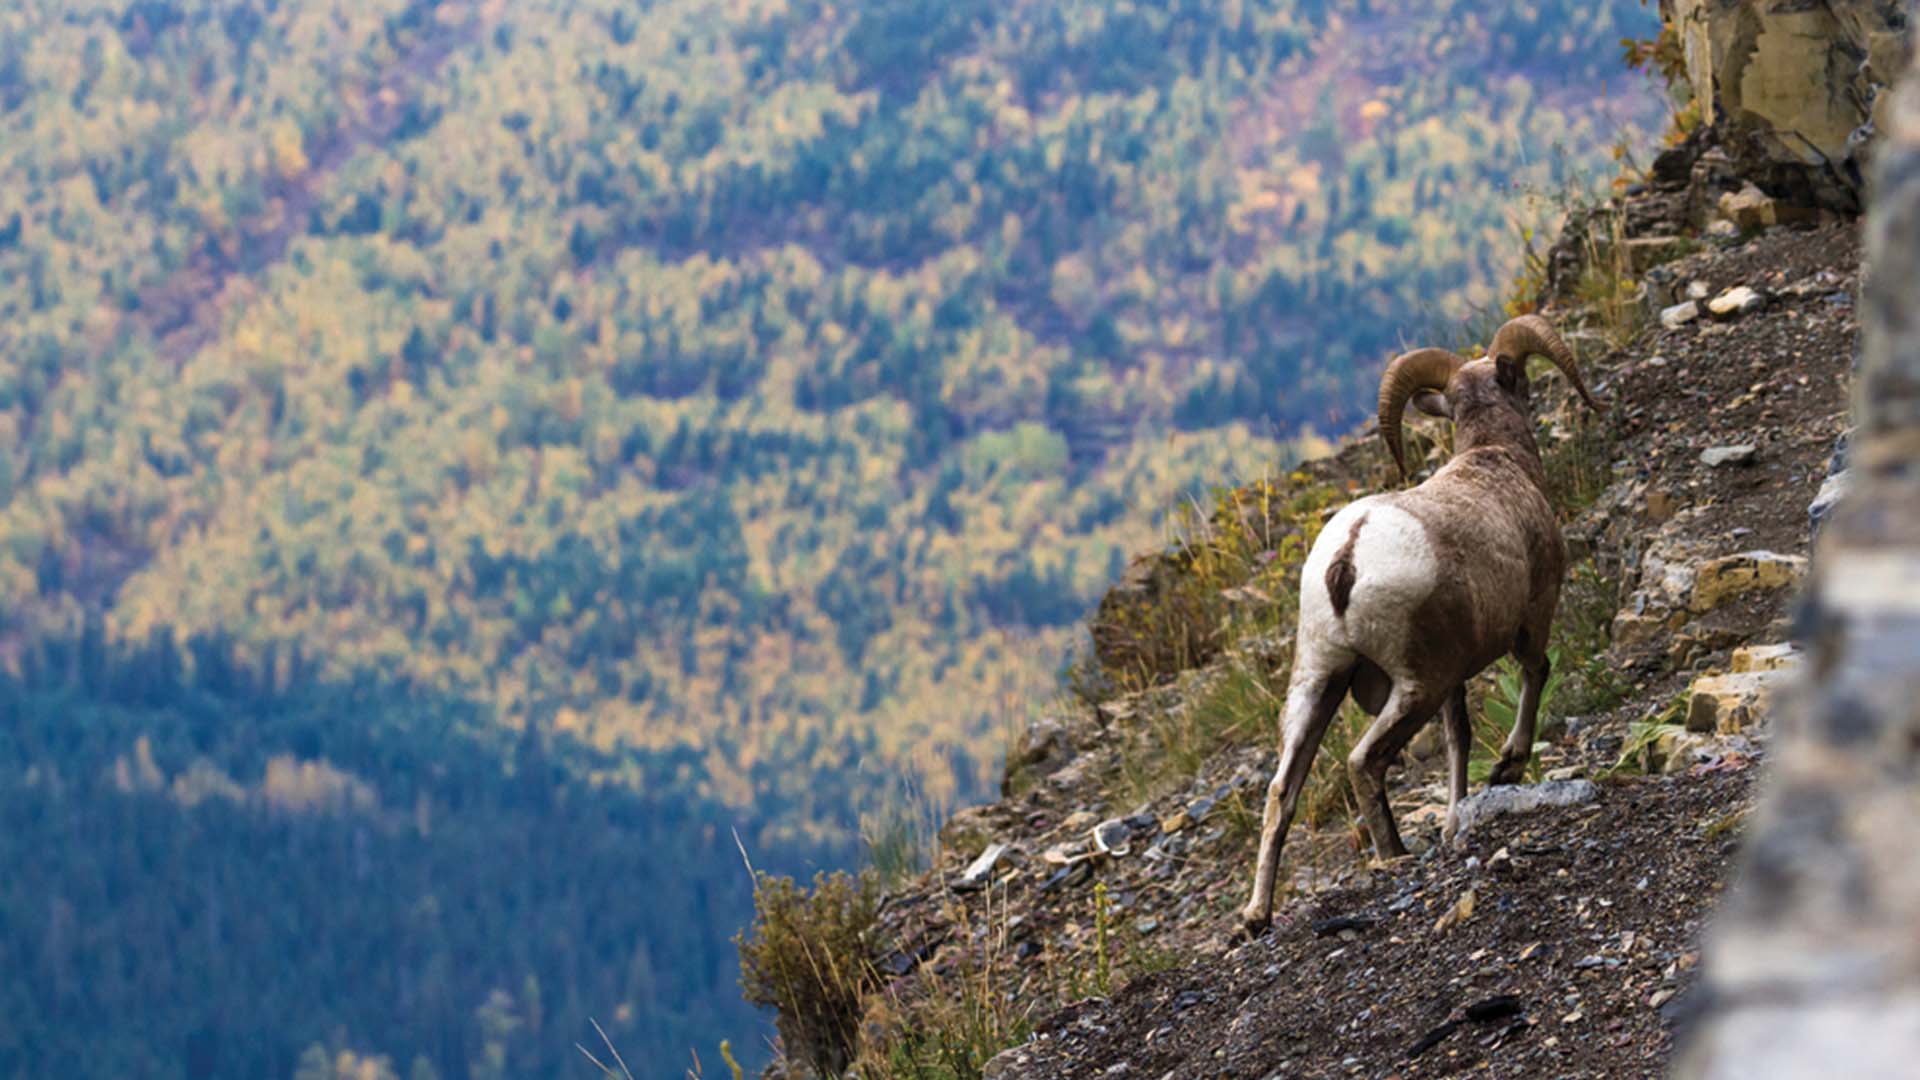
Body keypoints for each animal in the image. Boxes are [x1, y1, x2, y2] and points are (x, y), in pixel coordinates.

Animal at [1236, 315, 1597, 930]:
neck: (1498, 461)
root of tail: (1348, 557)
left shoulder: (1455, 681)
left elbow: (1459, 741)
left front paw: (1455, 820)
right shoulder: (1531, 619)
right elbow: (1536, 674)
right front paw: (1508, 767)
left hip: (1318, 681)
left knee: (1283, 788)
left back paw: (1257, 917)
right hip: (1414, 686)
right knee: (1362, 761)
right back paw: (1394, 855)